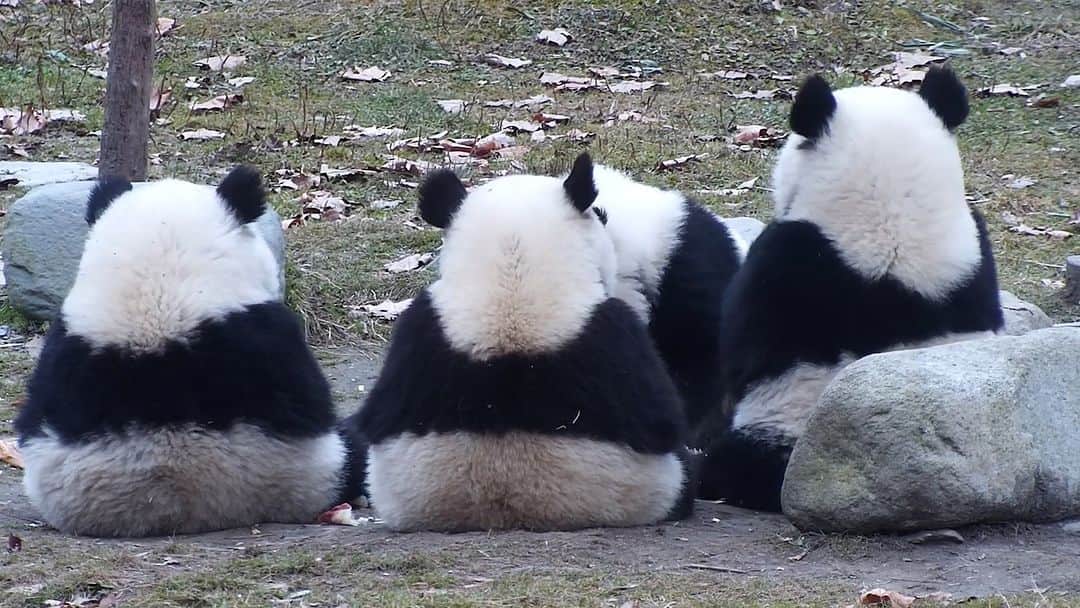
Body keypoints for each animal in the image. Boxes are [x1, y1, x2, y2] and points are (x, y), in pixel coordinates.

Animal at [351, 153, 696, 531]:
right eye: (601, 215)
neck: (512, 279)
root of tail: (509, 511)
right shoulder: (617, 338)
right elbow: (662, 421)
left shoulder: (418, 332)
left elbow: (379, 415)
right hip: (653, 490)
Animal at [698, 66, 1005, 512]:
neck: (892, 225)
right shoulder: (975, 262)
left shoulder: (782, 267)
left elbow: (741, 354)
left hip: (789, 436)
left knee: (738, 465)